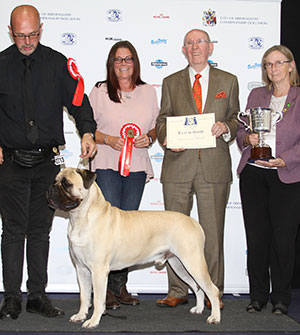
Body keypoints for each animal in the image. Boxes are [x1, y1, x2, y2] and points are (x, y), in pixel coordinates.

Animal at [47, 168, 220, 328]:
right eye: (55, 180)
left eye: (67, 184)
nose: (51, 187)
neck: (82, 217)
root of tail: (193, 222)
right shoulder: (82, 269)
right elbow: (84, 297)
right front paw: (80, 315)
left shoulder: (98, 270)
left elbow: (97, 299)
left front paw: (93, 321)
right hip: (179, 265)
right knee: (197, 286)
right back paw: (198, 309)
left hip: (193, 262)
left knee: (212, 290)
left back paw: (214, 317)